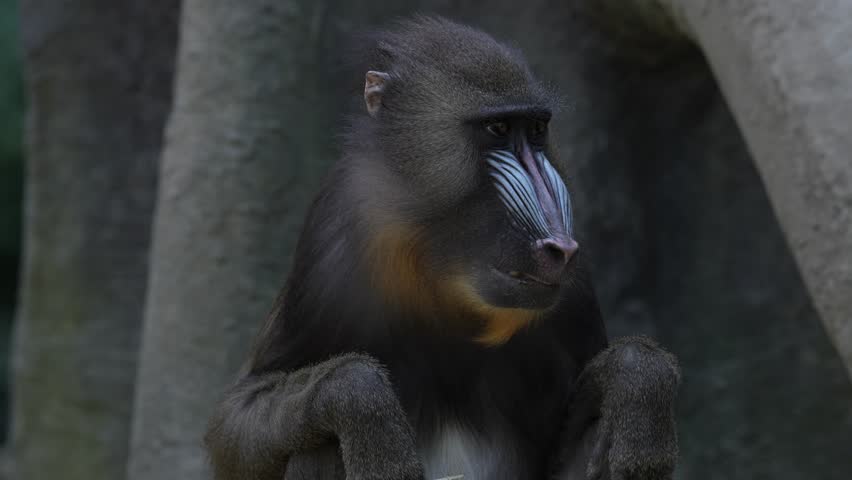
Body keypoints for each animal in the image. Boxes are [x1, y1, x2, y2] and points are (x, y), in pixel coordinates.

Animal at [205, 16, 680, 480]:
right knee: (318, 447)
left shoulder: (573, 288)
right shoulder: (329, 249)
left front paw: (639, 383)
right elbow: (234, 426)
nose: (560, 247)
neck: (447, 283)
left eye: (537, 130)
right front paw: (369, 420)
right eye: (498, 128)